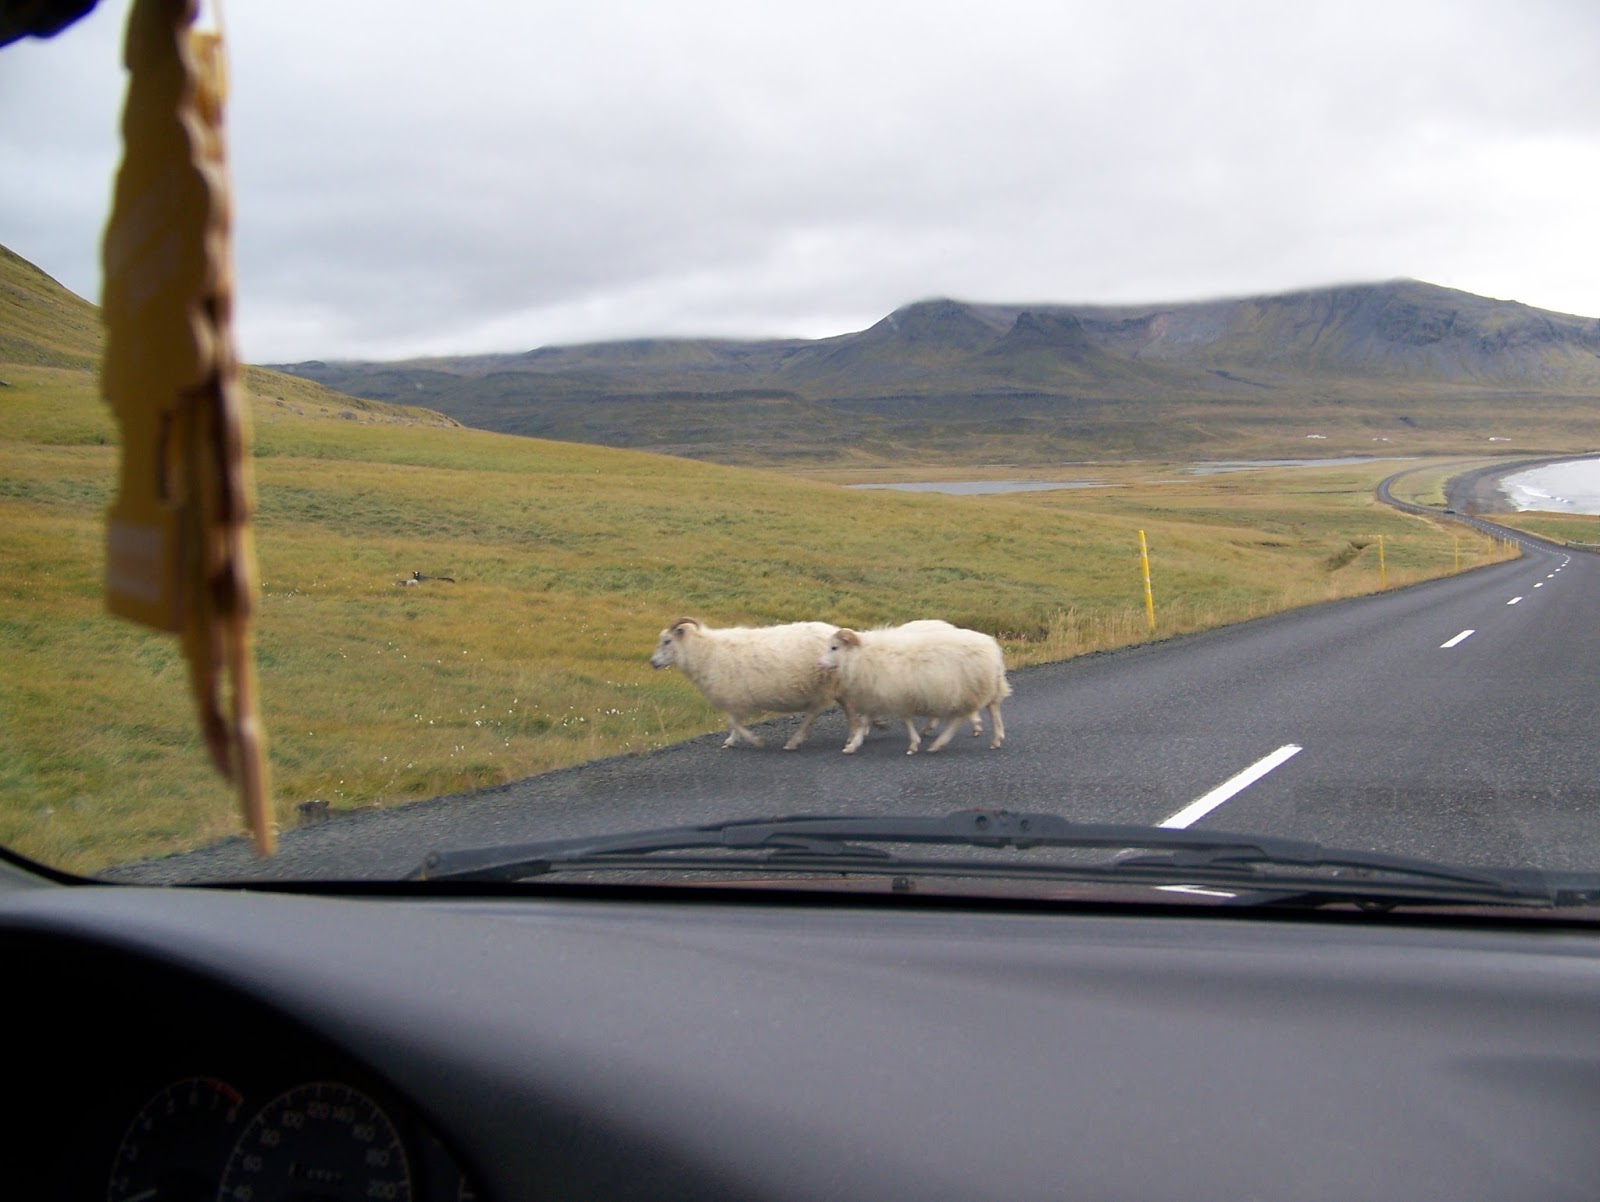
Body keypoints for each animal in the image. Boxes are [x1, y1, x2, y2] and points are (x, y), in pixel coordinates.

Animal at [650, 617, 854, 750]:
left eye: (667, 641)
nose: (652, 662)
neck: (704, 651)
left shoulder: (736, 697)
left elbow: (733, 721)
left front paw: (754, 740)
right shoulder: (735, 698)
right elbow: (733, 721)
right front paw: (732, 740)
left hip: (823, 685)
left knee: (814, 712)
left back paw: (794, 741)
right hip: (836, 685)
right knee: (845, 708)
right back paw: (852, 734)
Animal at [820, 623, 1011, 755]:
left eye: (834, 647)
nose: (819, 664)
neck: (861, 656)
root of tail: (992, 648)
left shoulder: (896, 695)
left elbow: (905, 720)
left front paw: (913, 745)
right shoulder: (877, 696)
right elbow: (866, 721)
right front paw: (852, 745)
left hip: (967, 690)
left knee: (960, 718)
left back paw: (939, 744)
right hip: (979, 689)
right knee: (992, 709)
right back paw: (996, 738)